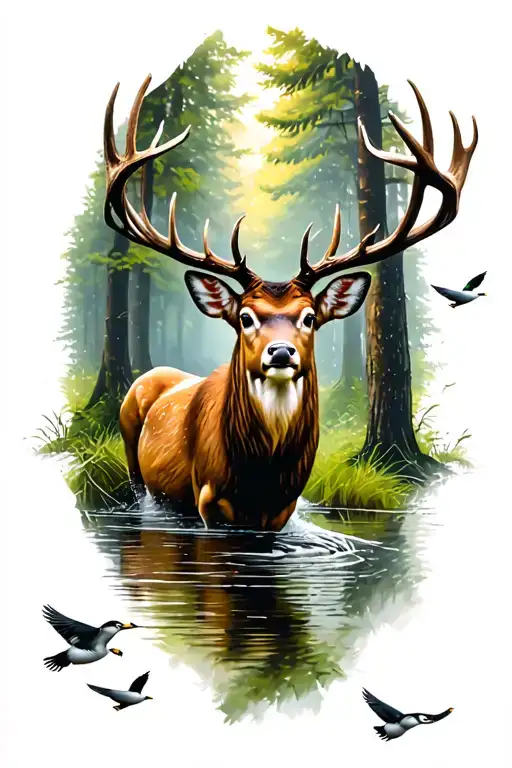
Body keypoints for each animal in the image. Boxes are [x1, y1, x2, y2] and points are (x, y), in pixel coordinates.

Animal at [104, 75, 477, 531]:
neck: (263, 478)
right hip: (132, 453)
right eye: (245, 317)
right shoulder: (206, 496)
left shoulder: (285, 507)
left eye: (310, 317)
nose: (280, 352)